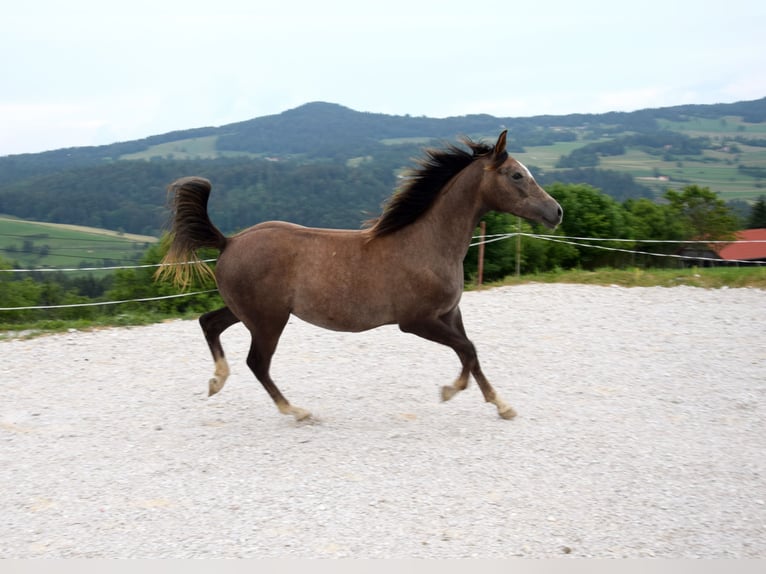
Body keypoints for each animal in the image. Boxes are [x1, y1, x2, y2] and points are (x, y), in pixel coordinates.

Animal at [158, 130, 564, 424]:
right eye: (516, 175)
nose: (556, 212)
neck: (427, 244)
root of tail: (228, 242)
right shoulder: (417, 321)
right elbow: (468, 351)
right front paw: (450, 390)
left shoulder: (450, 313)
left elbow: (472, 353)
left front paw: (502, 405)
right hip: (269, 320)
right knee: (257, 362)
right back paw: (297, 411)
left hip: (248, 312)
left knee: (209, 322)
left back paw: (216, 381)